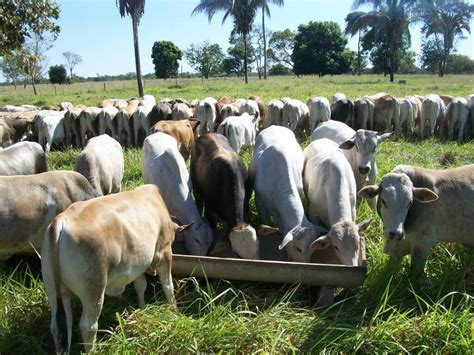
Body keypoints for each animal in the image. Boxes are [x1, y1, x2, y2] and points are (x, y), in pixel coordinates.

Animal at [41, 185, 187, 354]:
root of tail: (61, 220)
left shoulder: (138, 264)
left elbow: (140, 286)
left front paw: (142, 308)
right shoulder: (165, 253)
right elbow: (168, 286)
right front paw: (175, 312)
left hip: (54, 289)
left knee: (60, 325)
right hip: (94, 292)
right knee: (87, 326)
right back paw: (93, 350)